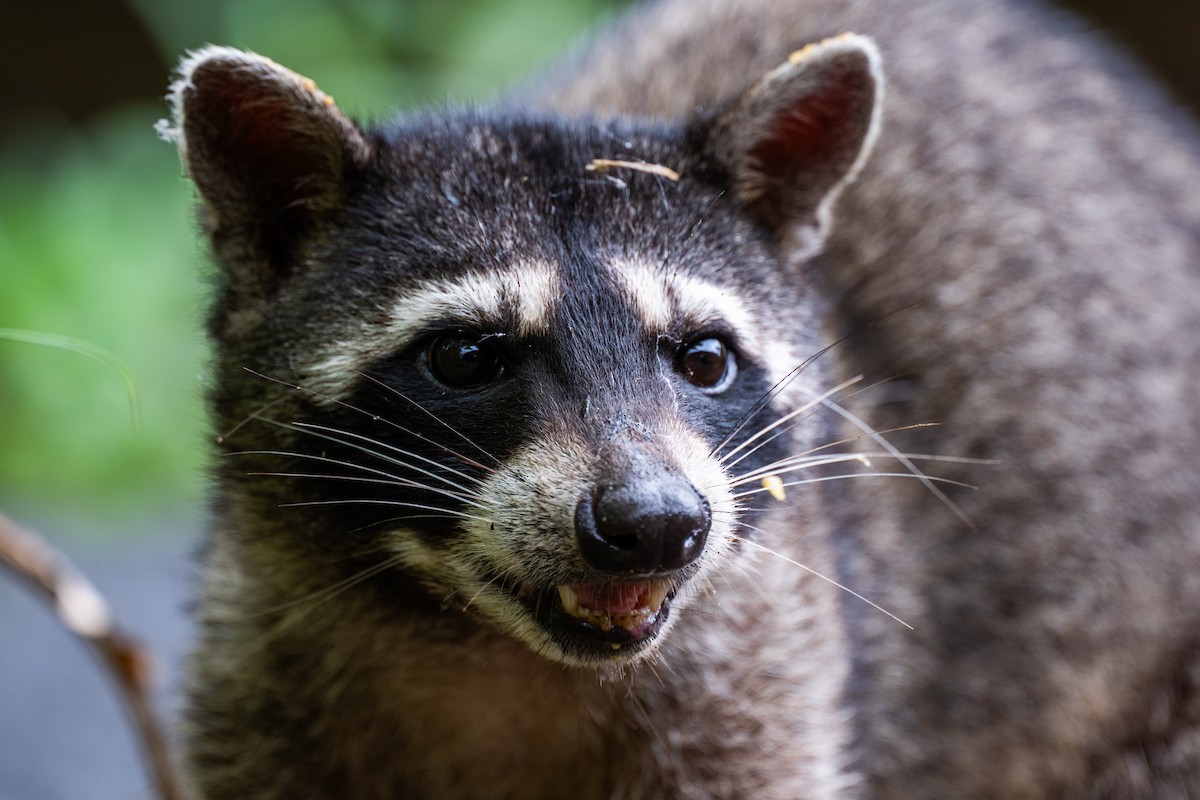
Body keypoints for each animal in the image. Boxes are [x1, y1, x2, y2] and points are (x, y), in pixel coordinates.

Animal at [162, 0, 1200, 798]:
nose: (657, 522)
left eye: (703, 359)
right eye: (463, 357)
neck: (482, 647)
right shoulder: (255, 679)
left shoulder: (767, 680)